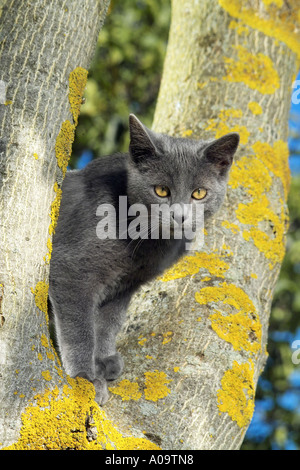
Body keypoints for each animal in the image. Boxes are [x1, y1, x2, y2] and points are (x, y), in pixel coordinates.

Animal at [48, 114, 239, 404]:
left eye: (199, 193)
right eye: (161, 190)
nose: (180, 216)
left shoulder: (125, 284)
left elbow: (108, 322)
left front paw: (102, 361)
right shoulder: (70, 268)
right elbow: (79, 327)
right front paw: (86, 378)